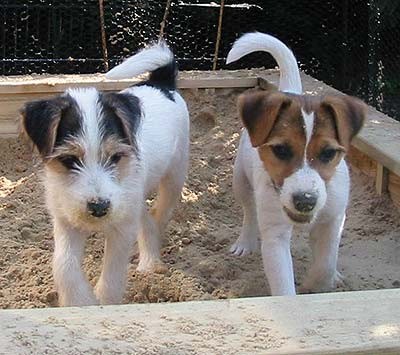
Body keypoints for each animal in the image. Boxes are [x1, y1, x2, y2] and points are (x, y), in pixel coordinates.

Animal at [21, 43, 190, 308]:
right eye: (69, 160)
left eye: (115, 157)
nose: (99, 208)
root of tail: (162, 83)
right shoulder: (65, 221)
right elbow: (63, 264)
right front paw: (78, 301)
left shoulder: (121, 227)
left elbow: (113, 271)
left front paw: (103, 302)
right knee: (145, 219)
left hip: (174, 175)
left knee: (158, 216)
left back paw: (152, 262)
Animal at [225, 32, 366, 296]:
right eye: (280, 150)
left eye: (328, 153)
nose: (305, 201)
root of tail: (289, 89)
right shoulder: (275, 236)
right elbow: (284, 287)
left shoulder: (333, 221)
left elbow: (325, 263)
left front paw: (317, 283)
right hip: (241, 182)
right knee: (249, 212)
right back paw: (244, 243)